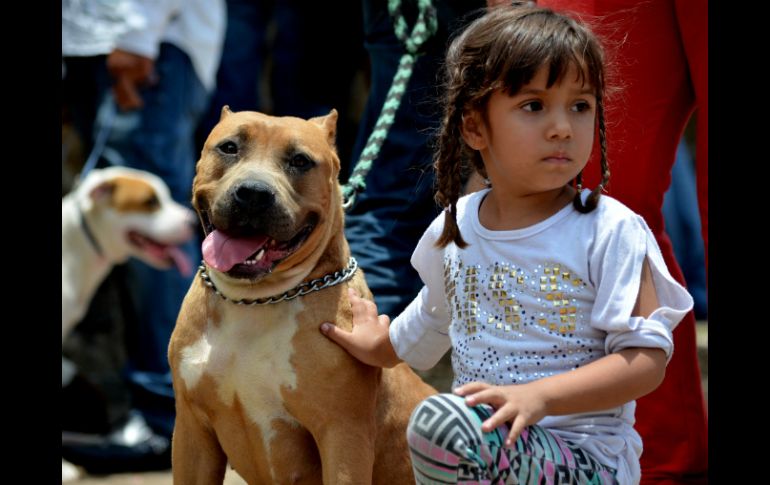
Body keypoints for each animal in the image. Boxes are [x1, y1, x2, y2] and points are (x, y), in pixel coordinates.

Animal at [170, 108, 436, 482]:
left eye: (300, 160)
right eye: (229, 147)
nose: (253, 193)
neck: (254, 300)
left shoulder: (343, 435)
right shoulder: (191, 430)